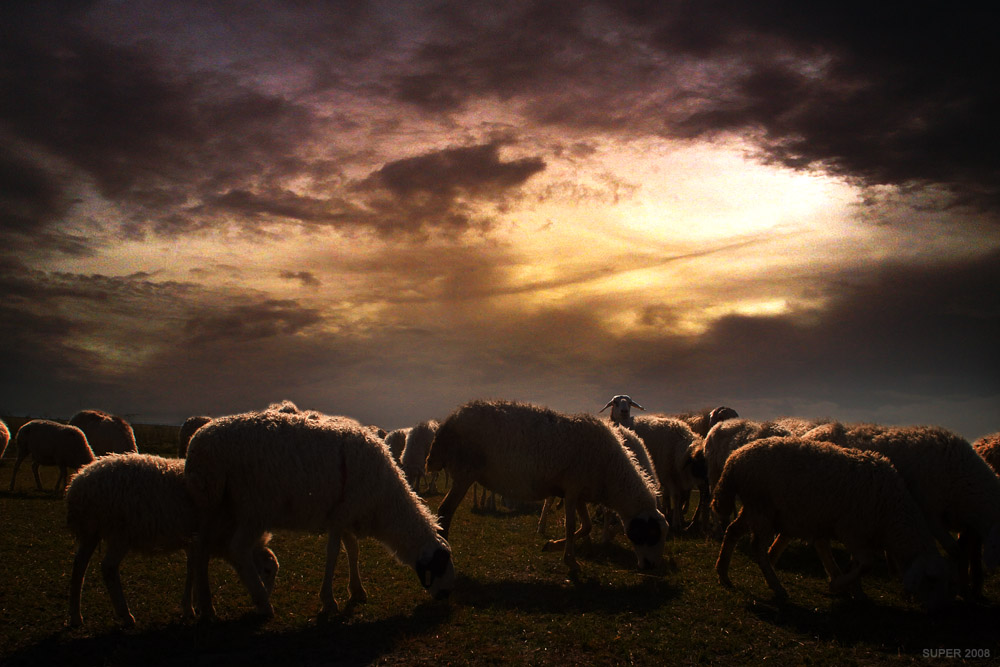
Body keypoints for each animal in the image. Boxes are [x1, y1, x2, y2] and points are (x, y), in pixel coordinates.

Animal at [65, 452, 278, 628]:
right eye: (267, 571)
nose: (265, 598)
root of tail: (78, 483)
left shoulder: (192, 543)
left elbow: (192, 570)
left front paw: (191, 608)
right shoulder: (201, 541)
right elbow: (198, 571)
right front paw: (202, 609)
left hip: (91, 531)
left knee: (78, 567)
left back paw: (76, 617)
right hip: (119, 532)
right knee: (108, 568)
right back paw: (125, 615)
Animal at [186, 410, 456, 620]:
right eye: (441, 564)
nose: (446, 595)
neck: (384, 501)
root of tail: (198, 442)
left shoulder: (346, 513)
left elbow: (353, 550)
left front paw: (357, 591)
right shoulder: (339, 516)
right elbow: (333, 554)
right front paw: (329, 601)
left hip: (212, 505)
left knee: (201, 550)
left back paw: (206, 607)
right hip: (253, 507)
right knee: (238, 549)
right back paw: (262, 601)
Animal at [424, 400, 664, 572]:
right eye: (650, 533)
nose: (651, 567)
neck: (611, 471)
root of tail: (450, 420)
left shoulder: (577, 491)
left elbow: (585, 526)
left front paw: (552, 545)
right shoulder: (573, 489)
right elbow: (571, 526)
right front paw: (570, 561)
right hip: (465, 473)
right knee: (445, 510)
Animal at [712, 436, 952, 612]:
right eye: (931, 580)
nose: (938, 610)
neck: (890, 516)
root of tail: (735, 458)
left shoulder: (855, 533)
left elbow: (852, 561)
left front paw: (856, 591)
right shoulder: (852, 530)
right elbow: (866, 563)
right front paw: (837, 585)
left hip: (753, 508)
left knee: (732, 532)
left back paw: (723, 574)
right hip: (763, 507)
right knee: (758, 549)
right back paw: (777, 587)